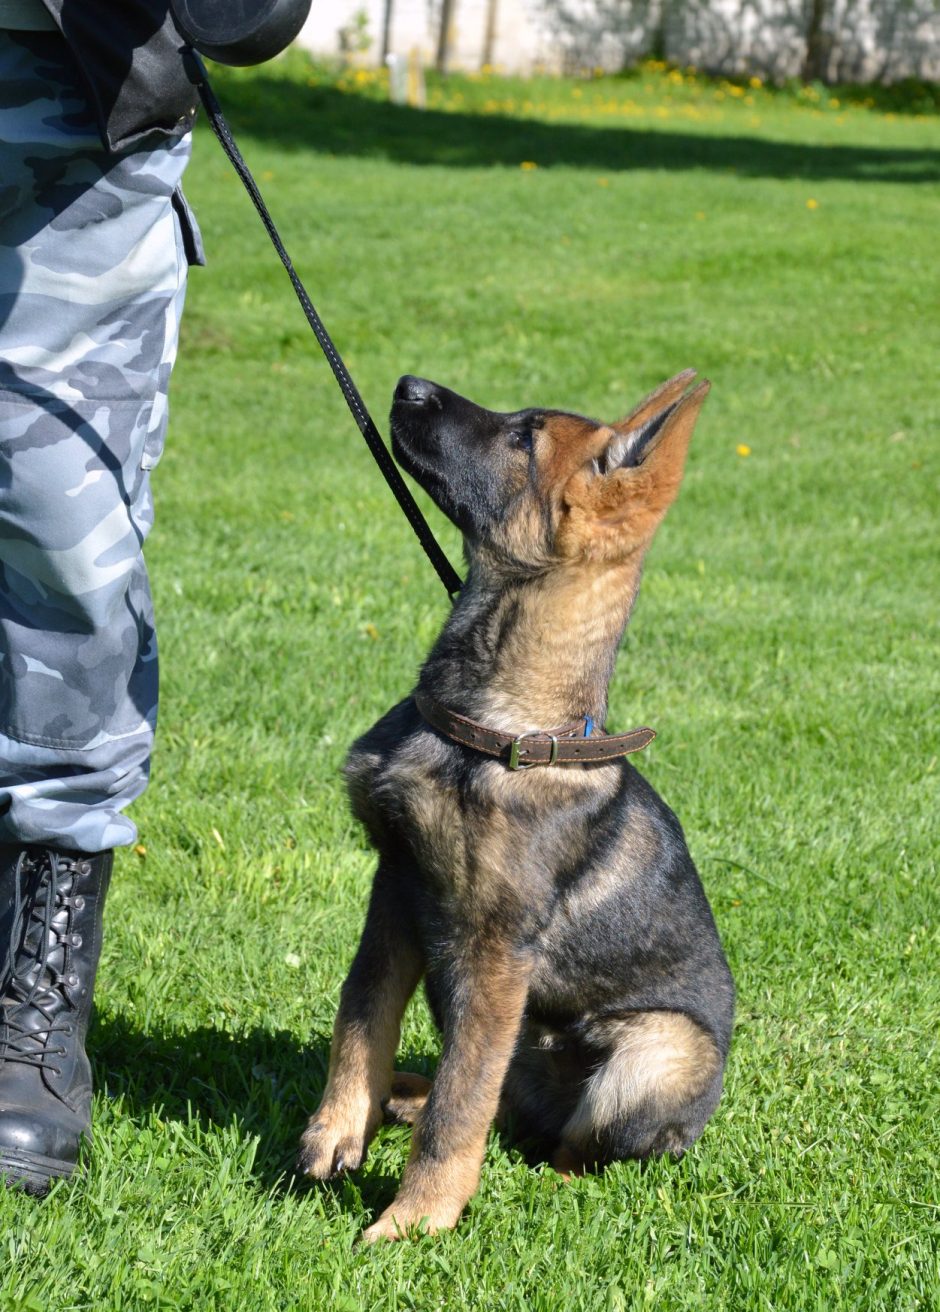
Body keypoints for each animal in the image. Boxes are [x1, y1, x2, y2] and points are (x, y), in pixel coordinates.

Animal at [299, 369, 735, 1238]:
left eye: (522, 437)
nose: (408, 383)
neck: (496, 725)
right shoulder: (396, 890)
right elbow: (360, 1018)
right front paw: (338, 1127)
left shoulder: (496, 951)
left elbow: (459, 1108)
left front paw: (415, 1220)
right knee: (495, 1102)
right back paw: (403, 1096)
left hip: (659, 1050)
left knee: (569, 1148)